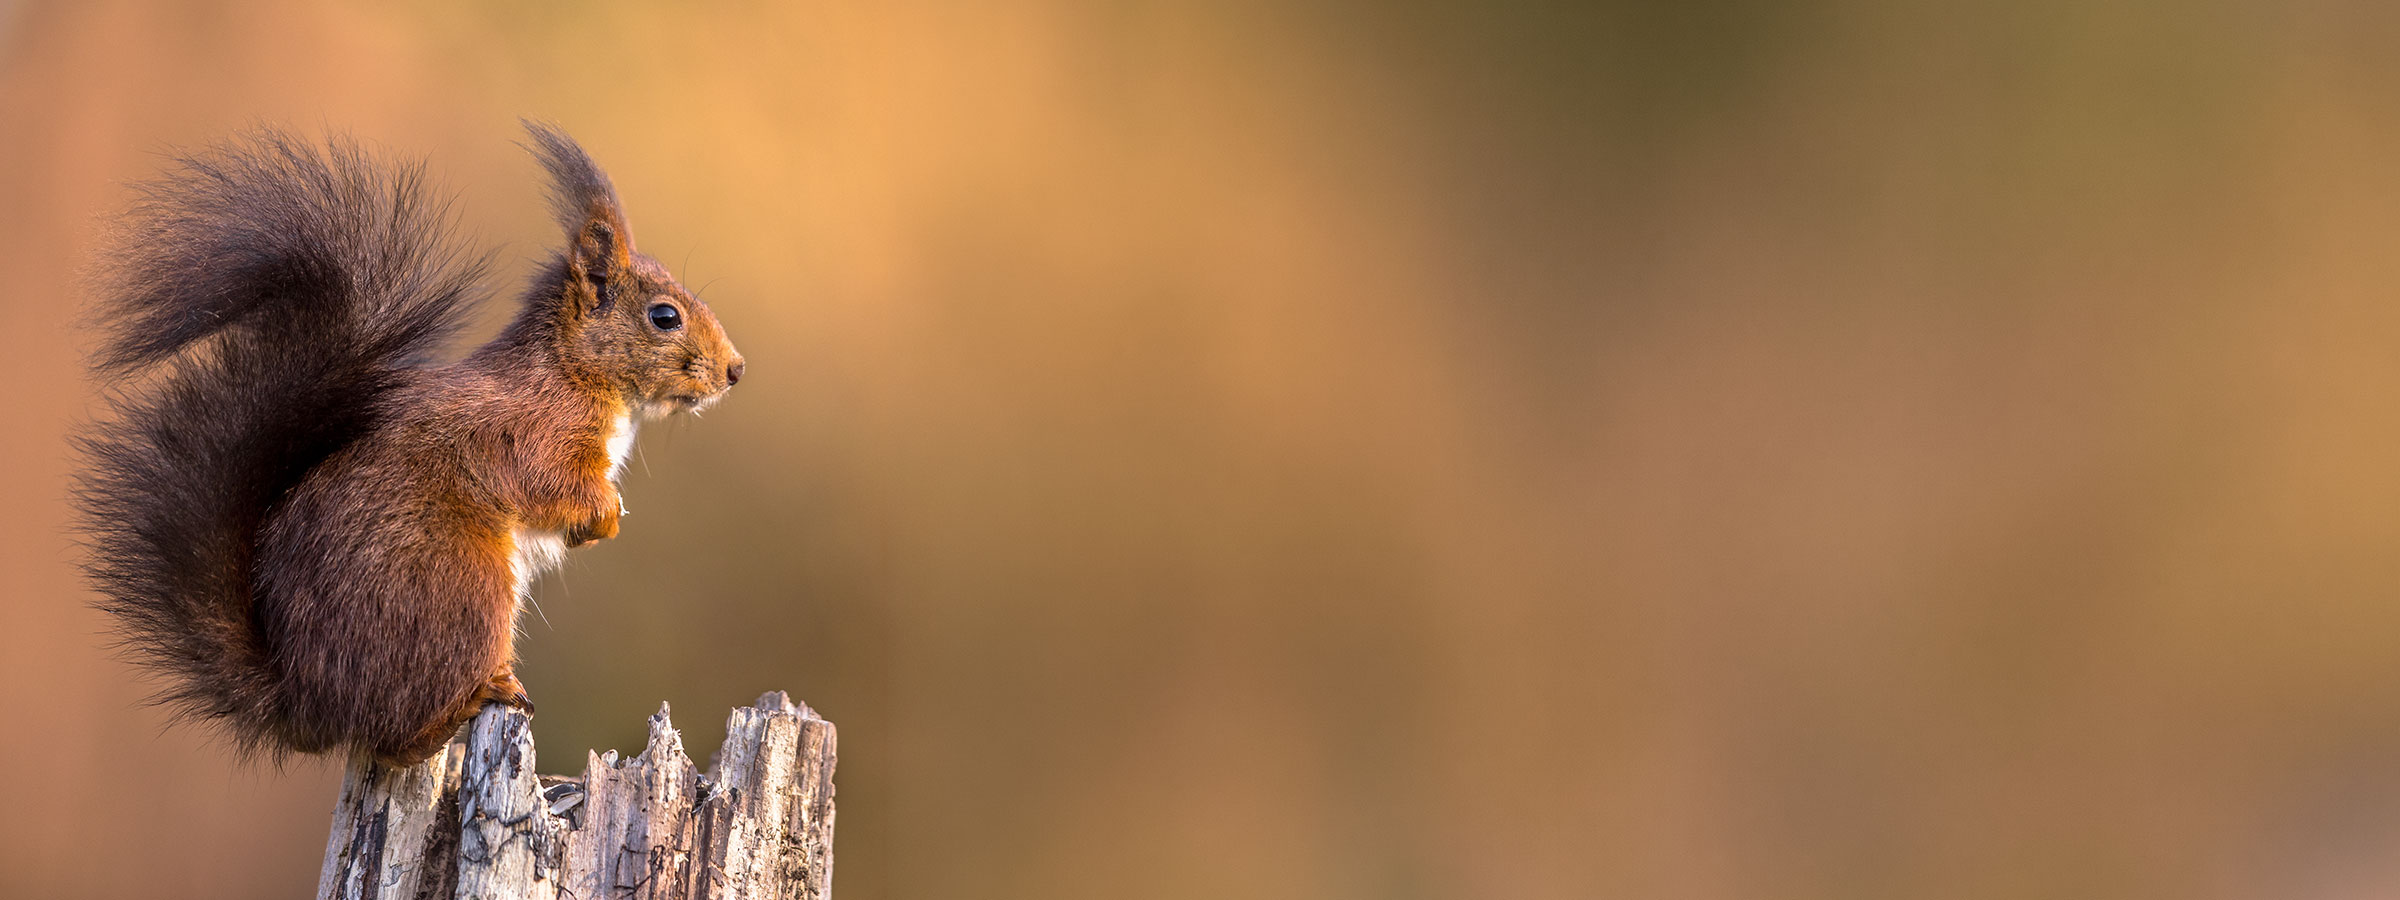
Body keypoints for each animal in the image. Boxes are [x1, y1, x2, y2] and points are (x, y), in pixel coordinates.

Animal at [75, 123, 744, 766]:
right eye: (664, 317)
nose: (735, 370)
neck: (573, 372)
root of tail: (307, 705)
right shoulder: (531, 432)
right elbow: (548, 484)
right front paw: (604, 516)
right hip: (461, 586)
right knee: (392, 741)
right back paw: (470, 703)